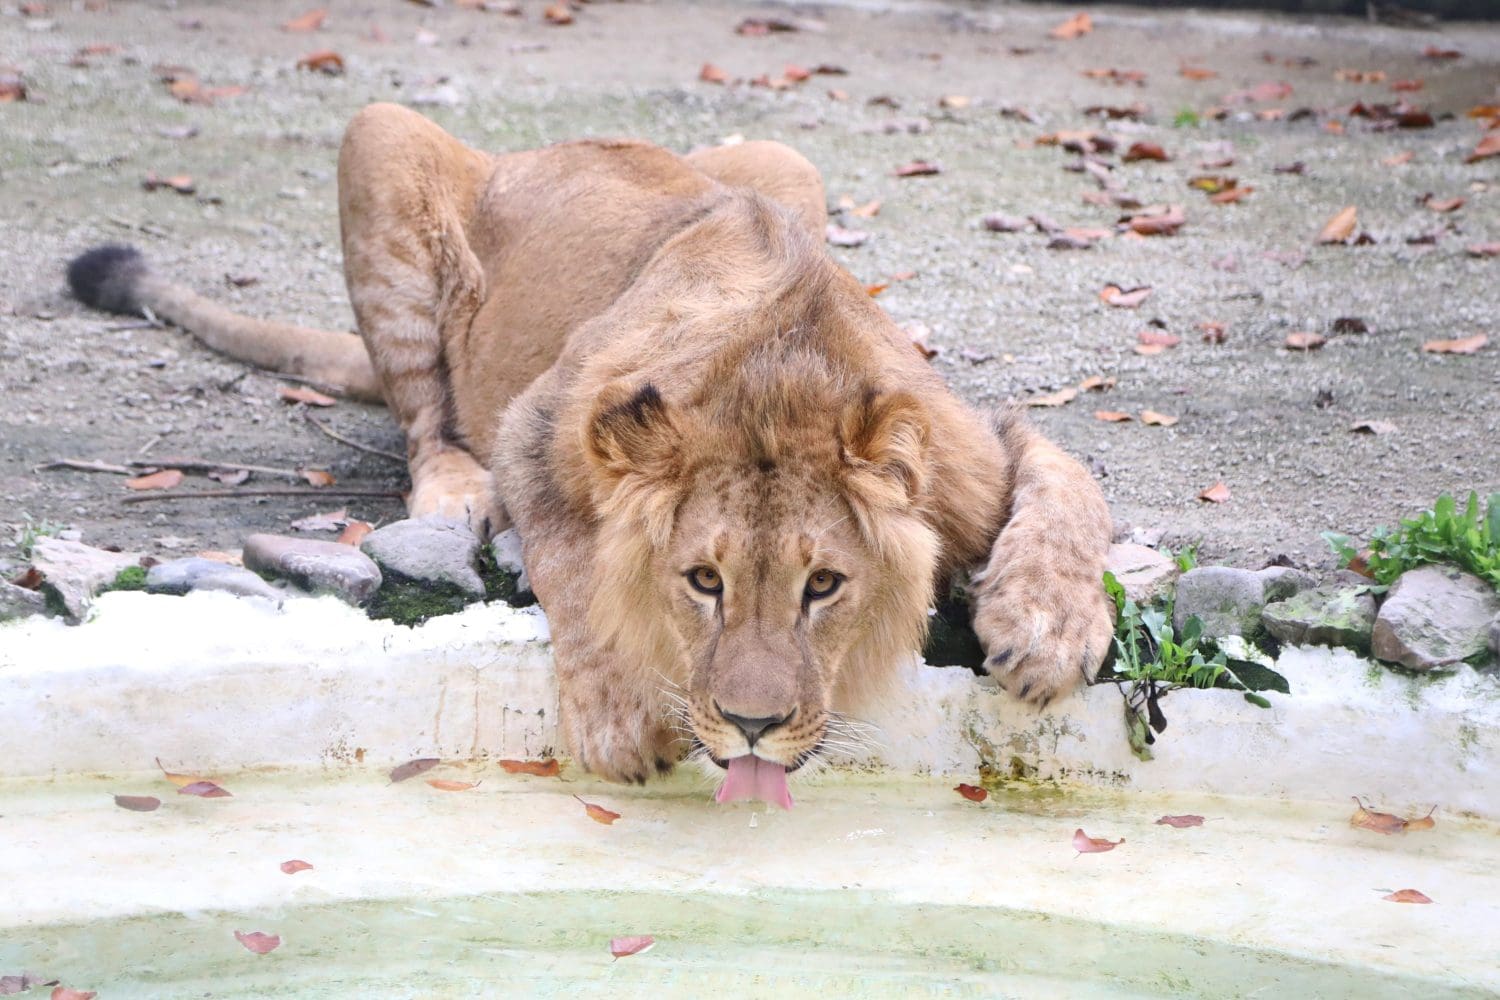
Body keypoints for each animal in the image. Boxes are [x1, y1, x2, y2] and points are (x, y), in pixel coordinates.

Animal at [70, 103, 1116, 803]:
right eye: (703, 582)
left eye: (824, 586)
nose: (751, 730)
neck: (782, 378)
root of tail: (534, 148)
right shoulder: (538, 419)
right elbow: (573, 556)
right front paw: (622, 717)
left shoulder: (975, 450)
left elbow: (1072, 480)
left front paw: (1048, 627)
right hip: (381, 139)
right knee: (425, 420)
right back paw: (456, 496)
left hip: (785, 161)